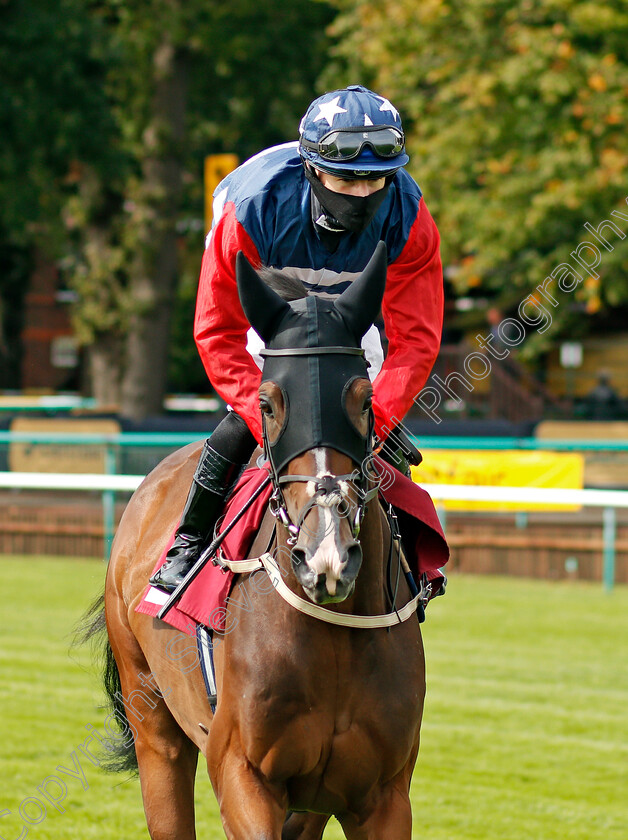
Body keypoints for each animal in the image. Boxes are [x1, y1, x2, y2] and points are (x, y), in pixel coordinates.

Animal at [88, 240, 430, 836]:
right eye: (267, 402)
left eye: (365, 399)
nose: (326, 558)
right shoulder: (244, 774)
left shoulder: (382, 795)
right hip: (155, 724)